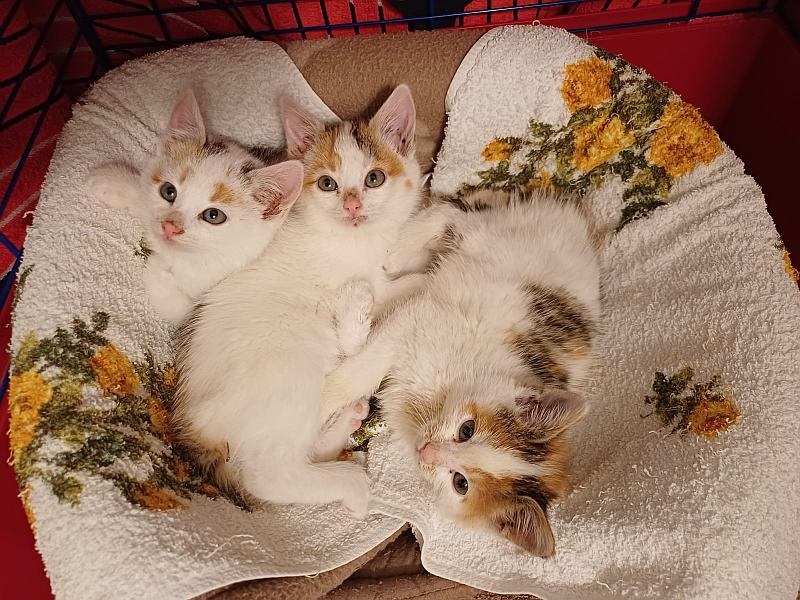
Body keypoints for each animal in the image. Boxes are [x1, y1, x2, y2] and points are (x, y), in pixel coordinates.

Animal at [87, 89, 303, 325]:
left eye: (213, 215)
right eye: (168, 191)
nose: (170, 227)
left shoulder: (198, 303)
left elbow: (171, 298)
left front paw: (158, 264)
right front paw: (112, 182)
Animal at [173, 85, 423, 516]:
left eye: (374, 179)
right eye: (327, 184)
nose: (353, 205)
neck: (354, 239)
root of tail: (194, 427)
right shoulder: (356, 280)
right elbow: (382, 299)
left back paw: (348, 420)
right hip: (289, 370)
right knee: (270, 473)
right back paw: (353, 486)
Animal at [320, 188, 601, 555]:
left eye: (460, 483)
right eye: (467, 429)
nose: (426, 451)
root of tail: (576, 222)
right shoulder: (426, 318)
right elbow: (362, 367)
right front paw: (323, 398)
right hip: (493, 235)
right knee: (451, 213)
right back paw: (399, 250)